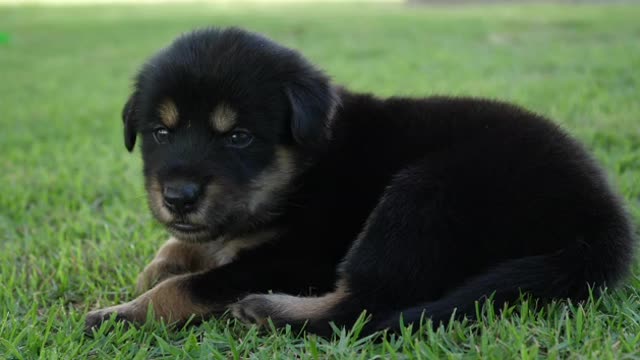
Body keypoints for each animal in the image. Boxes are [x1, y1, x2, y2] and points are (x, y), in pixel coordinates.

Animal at [85, 28, 636, 338]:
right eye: (161, 132)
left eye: (238, 137)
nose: (177, 198)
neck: (305, 171)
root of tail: (603, 226)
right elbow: (184, 249)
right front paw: (158, 266)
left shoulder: (300, 256)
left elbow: (192, 285)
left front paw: (124, 313)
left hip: (425, 192)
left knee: (365, 303)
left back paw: (271, 311)